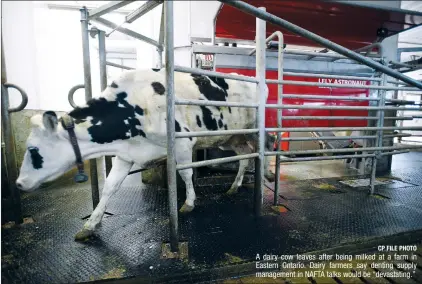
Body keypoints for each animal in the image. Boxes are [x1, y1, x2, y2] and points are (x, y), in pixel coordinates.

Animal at [16, 68, 276, 240]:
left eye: (32, 149)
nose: (19, 183)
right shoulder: (126, 154)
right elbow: (109, 187)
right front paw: (91, 224)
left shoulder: (183, 143)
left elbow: (186, 175)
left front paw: (189, 203)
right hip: (232, 137)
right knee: (245, 155)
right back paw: (234, 186)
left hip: (256, 128)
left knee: (267, 145)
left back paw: (267, 177)